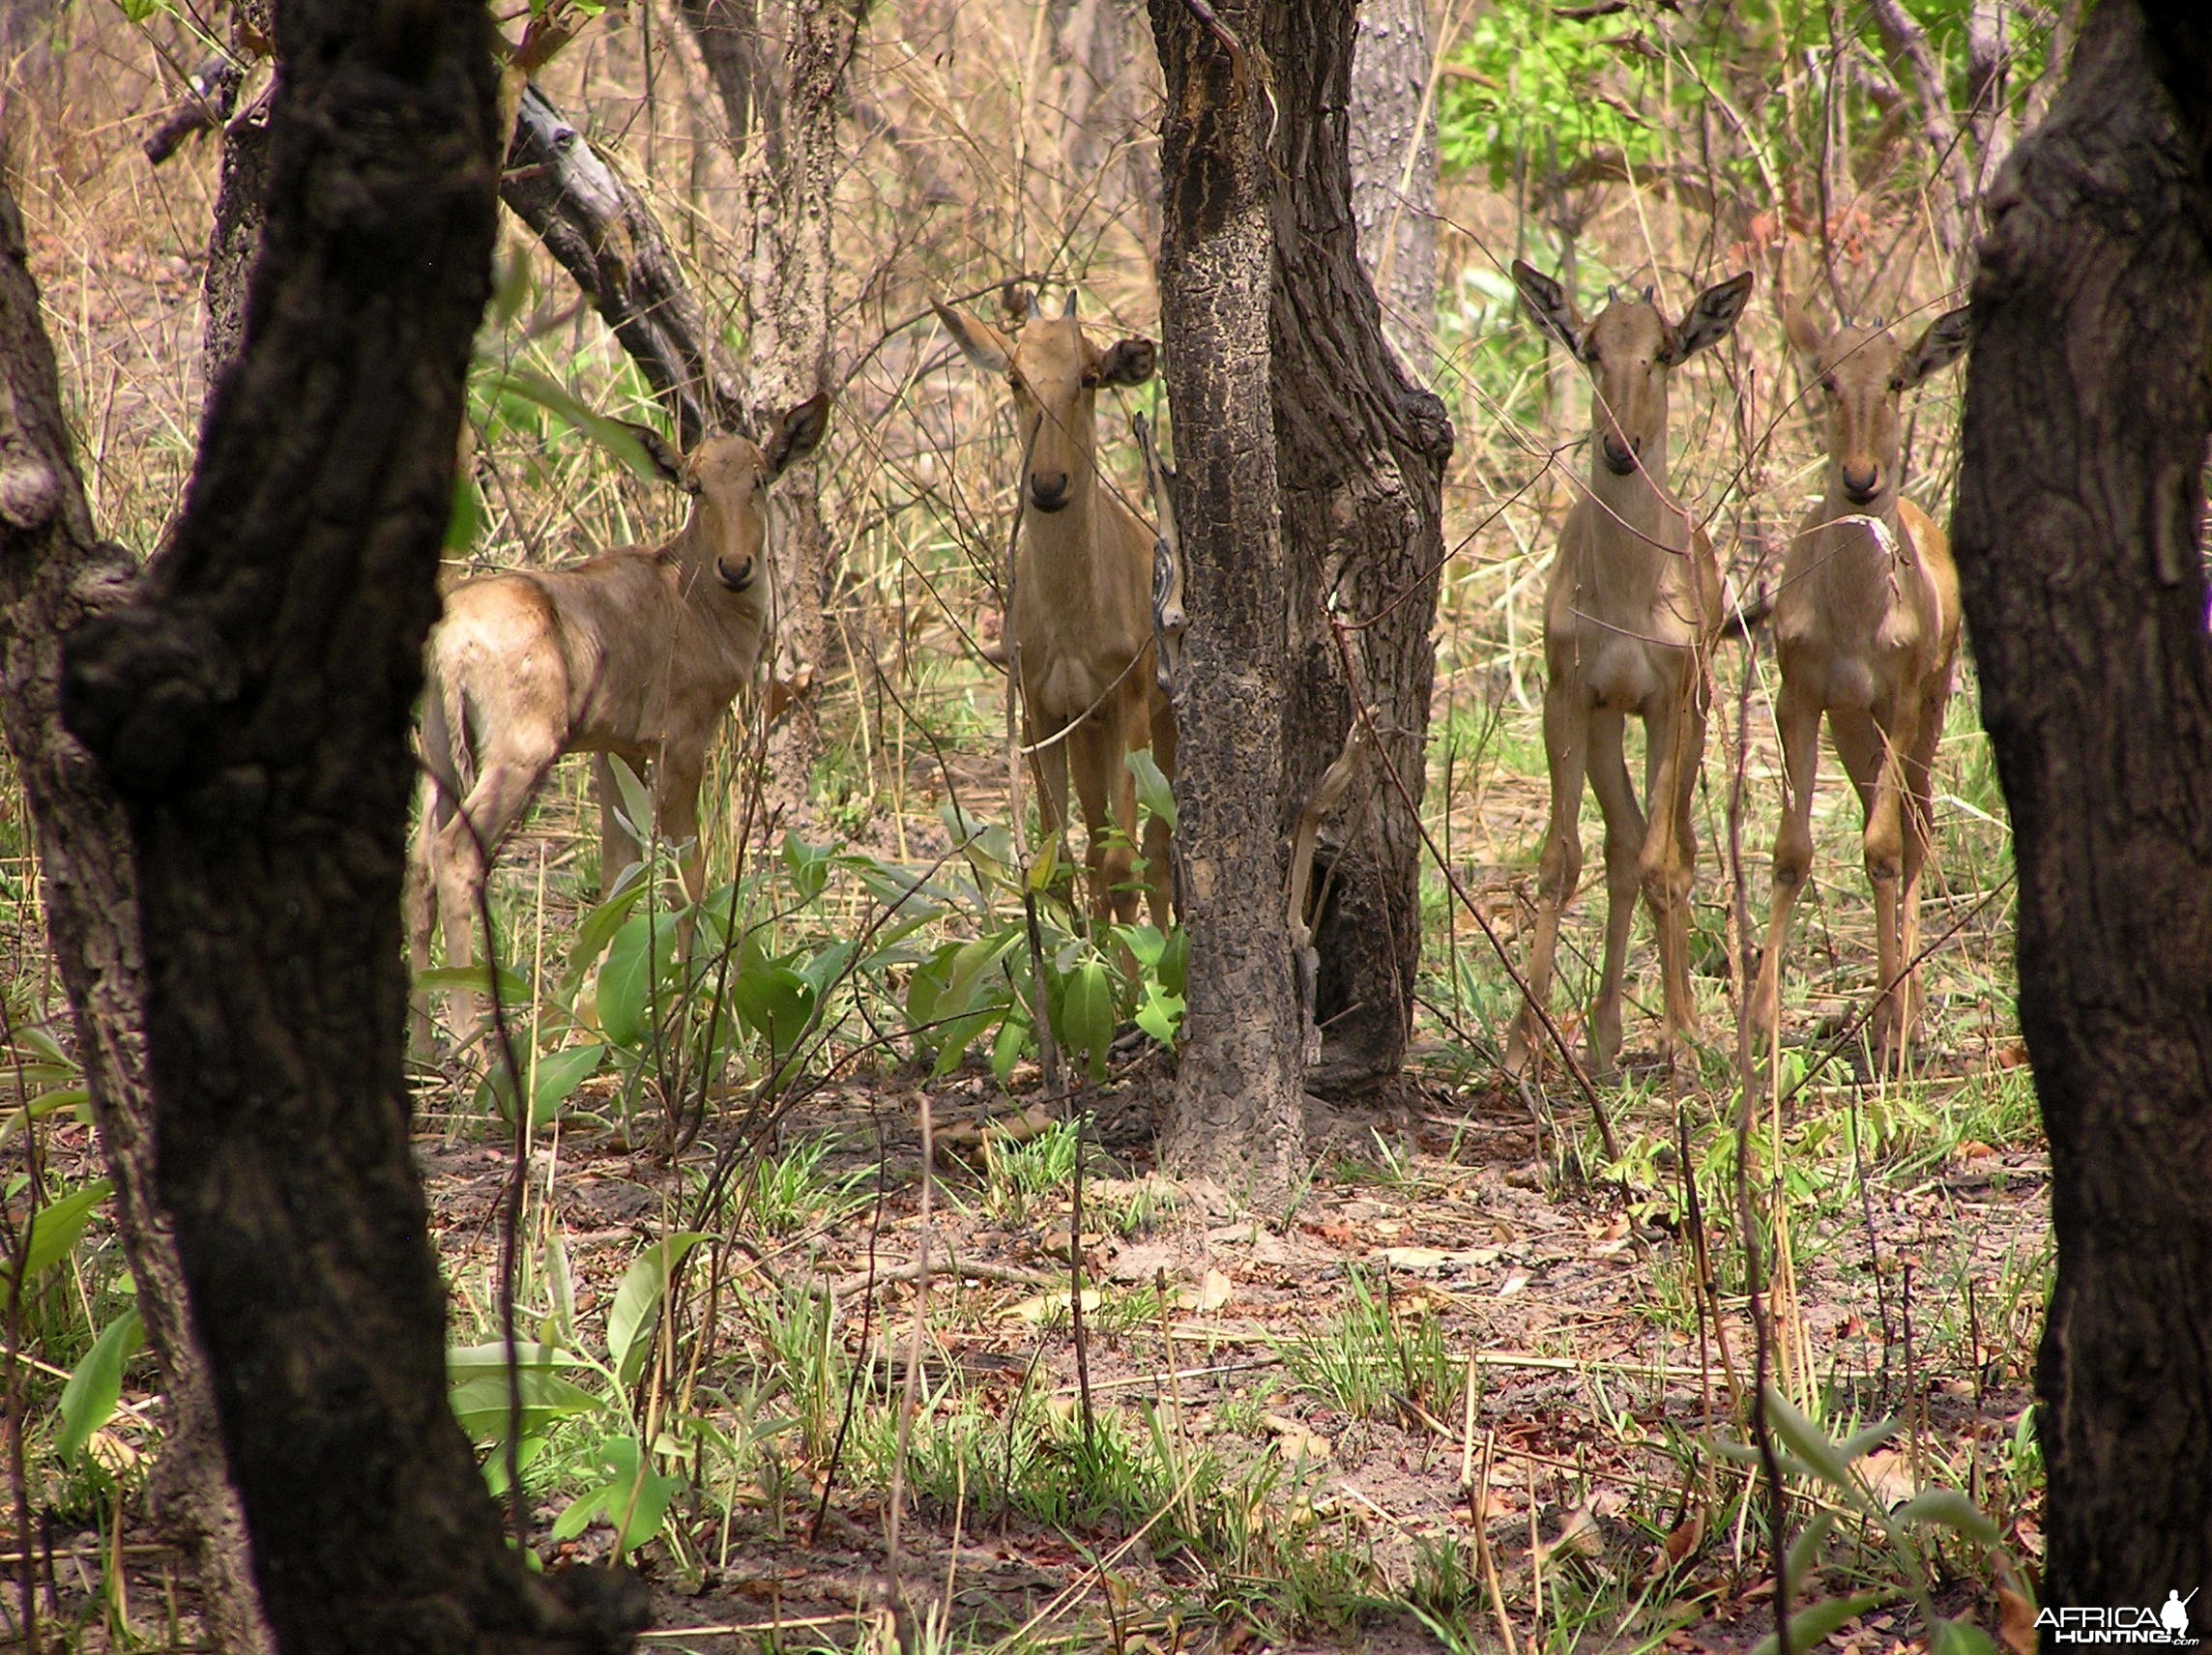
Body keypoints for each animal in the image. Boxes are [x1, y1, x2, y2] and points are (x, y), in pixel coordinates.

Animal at [406, 397, 831, 1048]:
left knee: (418, 862)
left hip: (439, 747)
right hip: (519, 755)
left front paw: (585, 1022)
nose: (736, 567)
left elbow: (619, 876)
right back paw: (473, 1045)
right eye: (694, 485)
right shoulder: (683, 744)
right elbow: (687, 871)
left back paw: (426, 1050)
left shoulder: (616, 750)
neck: (684, 592)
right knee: (455, 854)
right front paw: (691, 1022)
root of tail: (451, 636)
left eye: (759, 479)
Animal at [933, 289, 1177, 924]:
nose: (1047, 485)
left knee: (1158, 851)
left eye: (1090, 376)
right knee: (1096, 844)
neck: (1071, 619)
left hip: (1160, 724)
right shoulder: (1043, 711)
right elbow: (1059, 860)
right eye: (1016, 378)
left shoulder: (1127, 706)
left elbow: (1121, 864)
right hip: (1087, 733)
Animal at [1503, 263, 1742, 1079]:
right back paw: (1604, 1035)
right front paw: (1522, 1047)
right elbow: (1561, 858)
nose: (1619, 446)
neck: (1632, 586)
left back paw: (1684, 1024)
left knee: (1674, 850)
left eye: (1665, 351)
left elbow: (1665, 862)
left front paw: (1683, 1040)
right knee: (1619, 849)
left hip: (1692, 718)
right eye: (1589, 348)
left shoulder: (1673, 703)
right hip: (1612, 725)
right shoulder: (1570, 697)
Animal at [1752, 303, 1982, 1066]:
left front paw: (1891, 1029)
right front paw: (1758, 1024)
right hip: (1855, 730)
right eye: (1825, 378)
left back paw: (1904, 1018)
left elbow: (1883, 850)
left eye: (1898, 378)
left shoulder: (1901, 702)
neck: (1854, 609)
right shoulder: (1800, 700)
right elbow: (1791, 851)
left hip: (1922, 718)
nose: (1861, 479)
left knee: (1917, 832)